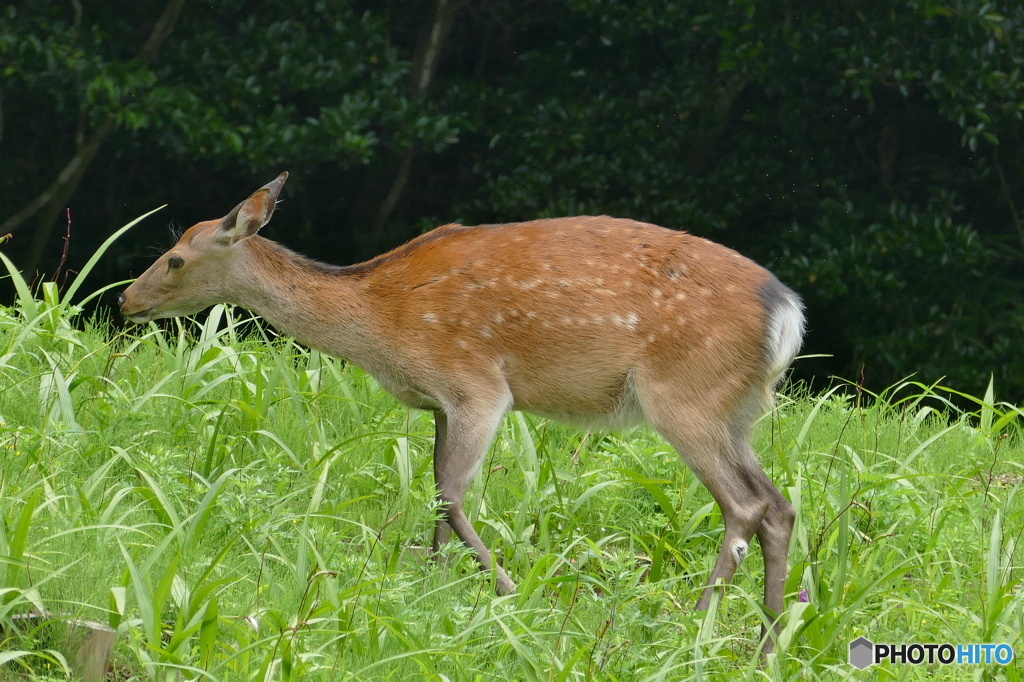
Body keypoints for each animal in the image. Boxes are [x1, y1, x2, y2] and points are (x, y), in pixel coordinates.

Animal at [118, 172, 804, 653]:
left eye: (175, 258)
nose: (127, 299)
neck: (378, 325)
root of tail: (788, 315)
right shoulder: (438, 401)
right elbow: (434, 492)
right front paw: (433, 588)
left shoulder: (476, 383)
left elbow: (450, 492)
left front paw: (510, 594)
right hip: (737, 409)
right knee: (779, 503)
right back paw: (766, 644)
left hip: (683, 395)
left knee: (744, 504)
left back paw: (694, 628)